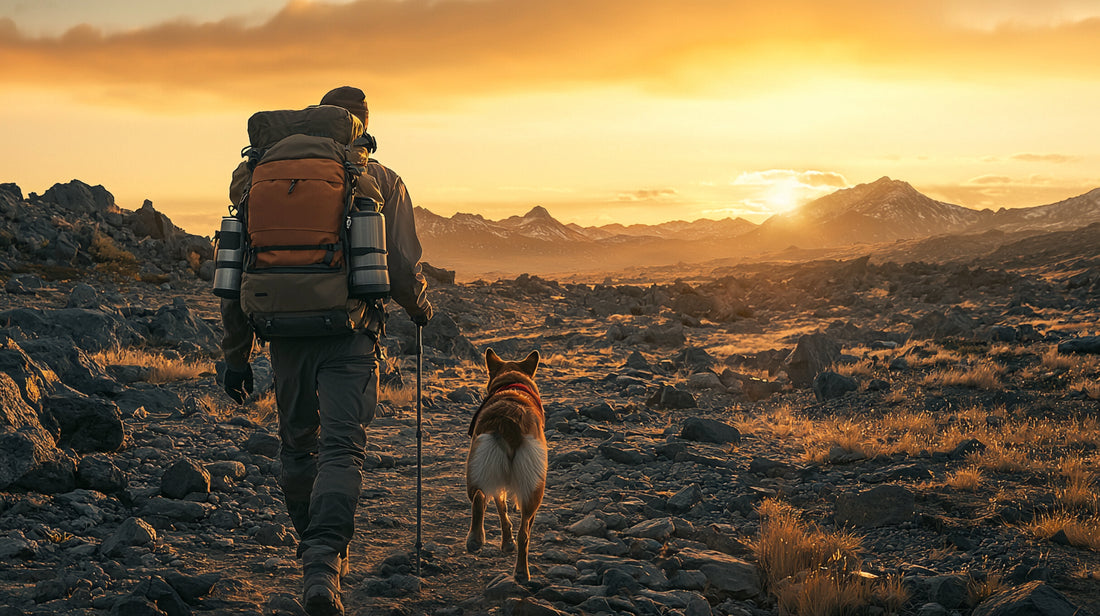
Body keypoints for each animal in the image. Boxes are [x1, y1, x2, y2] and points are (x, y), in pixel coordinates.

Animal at [466, 347, 547, 580]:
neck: (512, 385)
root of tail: (509, 421)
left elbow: (501, 508)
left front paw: (505, 543)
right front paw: (507, 543)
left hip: (476, 466)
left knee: (479, 497)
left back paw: (475, 540)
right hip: (534, 491)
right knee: (525, 533)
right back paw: (521, 572)